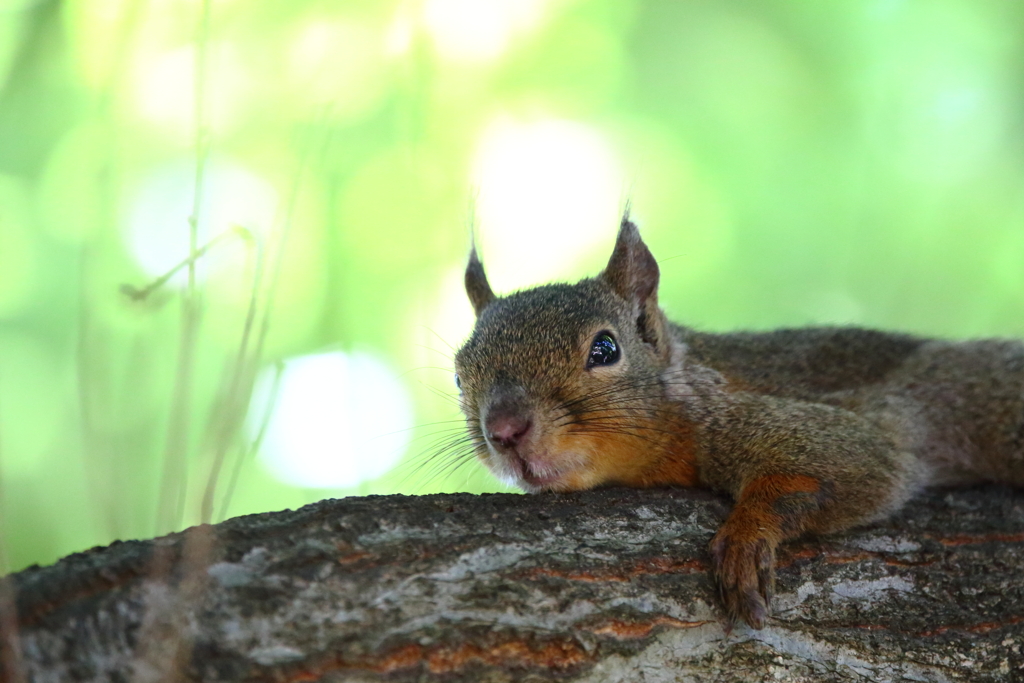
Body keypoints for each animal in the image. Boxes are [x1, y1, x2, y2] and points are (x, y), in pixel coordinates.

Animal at [454, 214, 1024, 630]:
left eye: (605, 349)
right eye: (460, 376)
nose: (505, 430)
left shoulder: (755, 419)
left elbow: (855, 461)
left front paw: (747, 536)